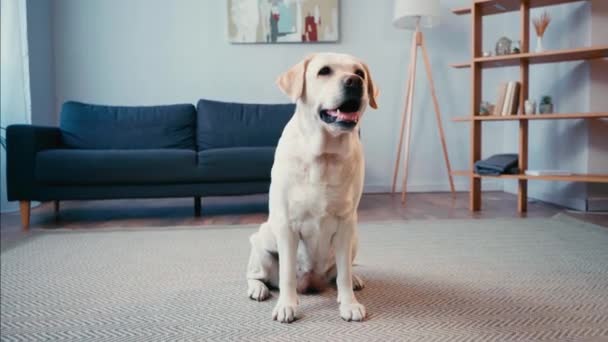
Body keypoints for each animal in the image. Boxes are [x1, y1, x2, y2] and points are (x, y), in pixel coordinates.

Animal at [245, 52, 378, 322]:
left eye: (359, 72)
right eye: (324, 71)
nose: (354, 82)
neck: (325, 155)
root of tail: (311, 282)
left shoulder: (347, 224)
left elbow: (344, 274)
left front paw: (349, 303)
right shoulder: (287, 225)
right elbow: (286, 274)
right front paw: (287, 305)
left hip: (354, 240)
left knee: (340, 273)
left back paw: (354, 280)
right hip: (262, 242)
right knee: (256, 275)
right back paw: (258, 289)